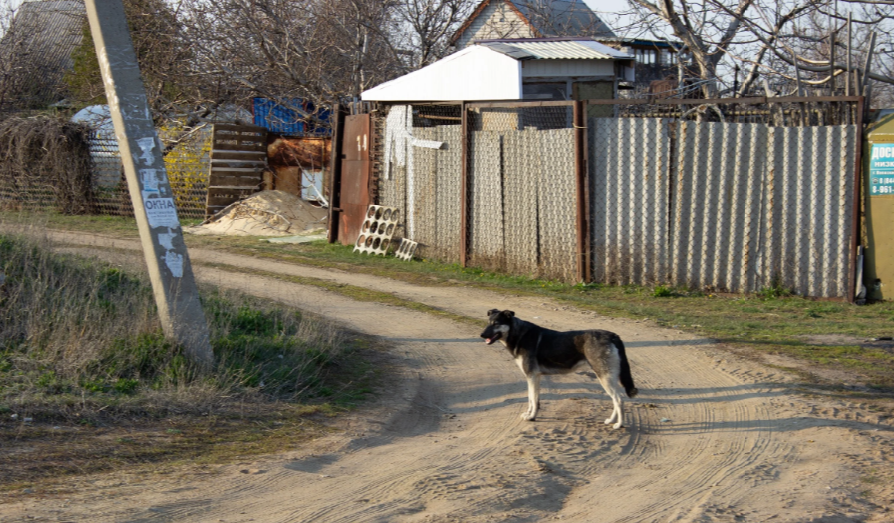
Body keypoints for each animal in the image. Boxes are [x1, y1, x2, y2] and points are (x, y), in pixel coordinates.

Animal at [484, 310, 636, 428]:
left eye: (496, 324)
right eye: (488, 322)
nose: (482, 335)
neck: (519, 335)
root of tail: (612, 336)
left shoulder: (532, 376)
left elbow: (533, 400)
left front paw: (532, 417)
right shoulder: (533, 377)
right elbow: (531, 399)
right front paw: (529, 414)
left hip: (605, 378)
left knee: (619, 400)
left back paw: (619, 425)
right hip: (609, 378)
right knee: (615, 400)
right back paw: (611, 420)